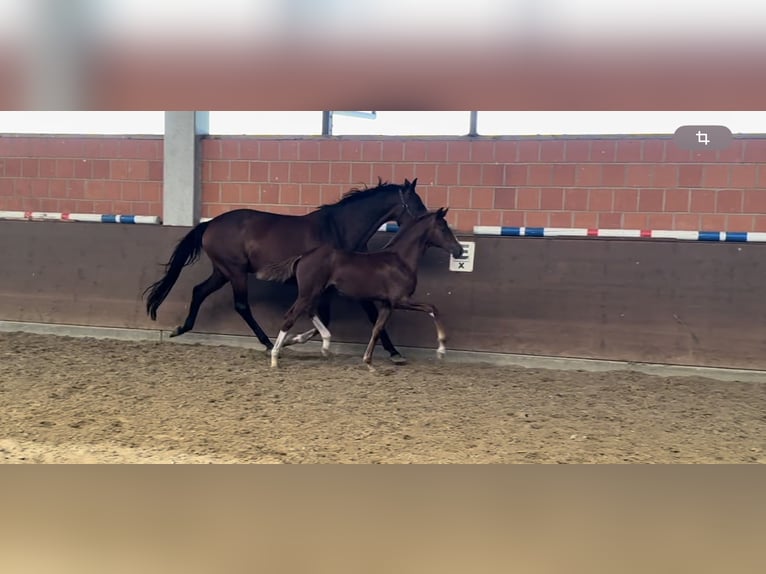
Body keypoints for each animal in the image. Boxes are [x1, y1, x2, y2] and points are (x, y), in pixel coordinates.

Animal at [143, 179, 428, 364]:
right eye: (417, 204)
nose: (428, 220)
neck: (339, 228)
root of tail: (210, 224)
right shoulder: (333, 287)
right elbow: (348, 318)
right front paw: (394, 353)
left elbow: (356, 316)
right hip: (235, 272)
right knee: (241, 305)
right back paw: (268, 343)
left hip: (222, 272)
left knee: (199, 291)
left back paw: (181, 328)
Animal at [264, 209, 464, 372]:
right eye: (443, 228)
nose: (459, 250)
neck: (400, 260)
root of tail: (303, 255)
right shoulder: (401, 300)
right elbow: (432, 308)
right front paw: (441, 349)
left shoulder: (387, 304)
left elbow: (377, 329)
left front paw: (369, 362)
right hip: (308, 293)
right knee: (290, 317)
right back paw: (275, 358)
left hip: (315, 293)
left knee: (309, 311)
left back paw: (324, 344)